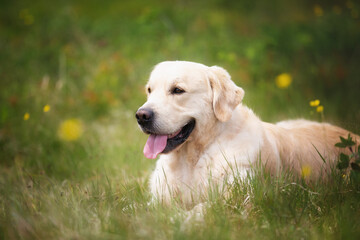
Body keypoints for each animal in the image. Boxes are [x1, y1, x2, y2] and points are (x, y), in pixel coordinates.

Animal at [135, 60, 358, 206]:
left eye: (178, 90)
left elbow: (200, 209)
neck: (192, 159)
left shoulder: (238, 200)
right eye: (149, 90)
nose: (141, 116)